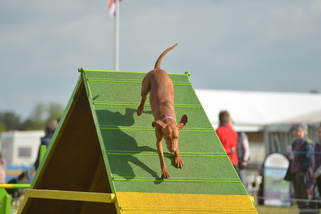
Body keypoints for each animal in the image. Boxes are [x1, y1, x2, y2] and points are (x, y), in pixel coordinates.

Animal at [136, 43, 186, 179]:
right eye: (167, 137)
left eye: (176, 137)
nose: (172, 150)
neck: (167, 118)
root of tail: (157, 69)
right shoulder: (158, 140)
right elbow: (162, 158)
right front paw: (164, 171)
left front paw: (177, 158)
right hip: (145, 86)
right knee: (143, 97)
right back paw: (140, 109)